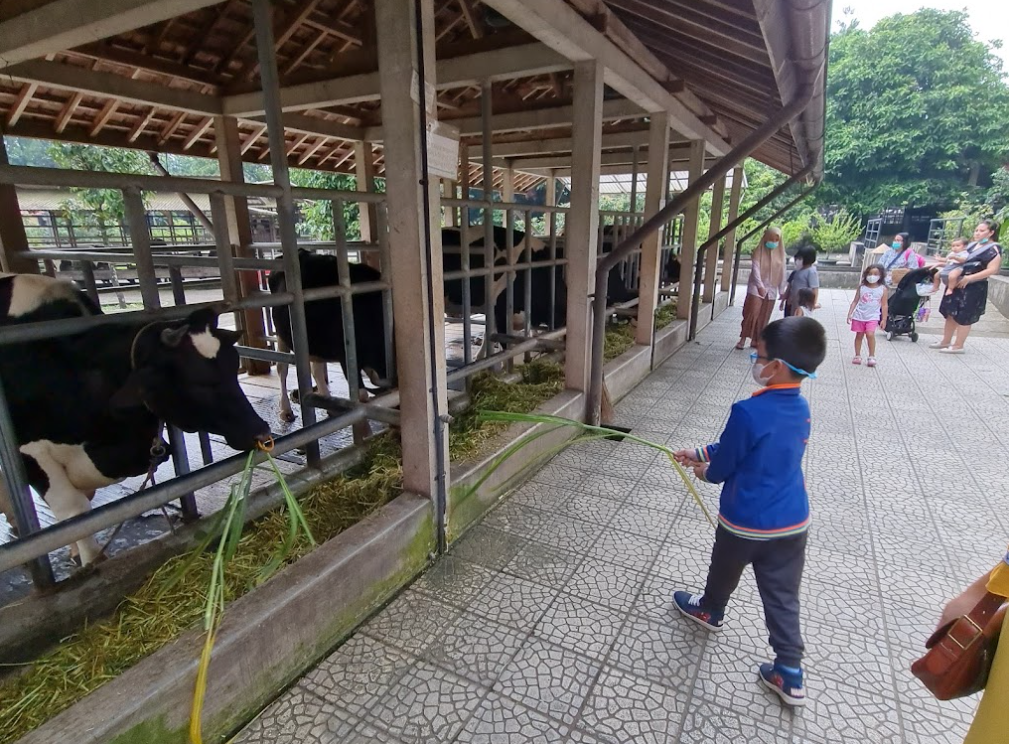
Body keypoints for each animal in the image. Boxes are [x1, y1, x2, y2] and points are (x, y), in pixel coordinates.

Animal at [0, 270, 272, 565]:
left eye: (234, 368)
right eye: (199, 382)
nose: (261, 432)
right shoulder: (30, 453)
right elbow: (74, 511)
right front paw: (92, 563)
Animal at [268, 249, 393, 419]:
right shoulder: (346, 357)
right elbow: (362, 396)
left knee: (316, 369)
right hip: (282, 335)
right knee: (282, 368)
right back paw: (285, 410)